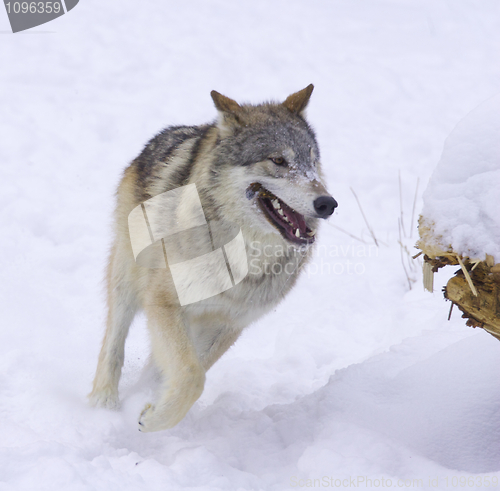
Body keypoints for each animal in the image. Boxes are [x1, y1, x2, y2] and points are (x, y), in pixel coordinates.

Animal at [88, 86, 338, 432]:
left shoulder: (228, 323)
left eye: (312, 161)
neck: (242, 255)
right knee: (114, 341)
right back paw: (103, 403)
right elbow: (192, 376)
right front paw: (152, 420)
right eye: (278, 160)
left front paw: (152, 405)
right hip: (127, 278)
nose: (328, 203)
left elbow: (189, 371)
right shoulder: (163, 301)